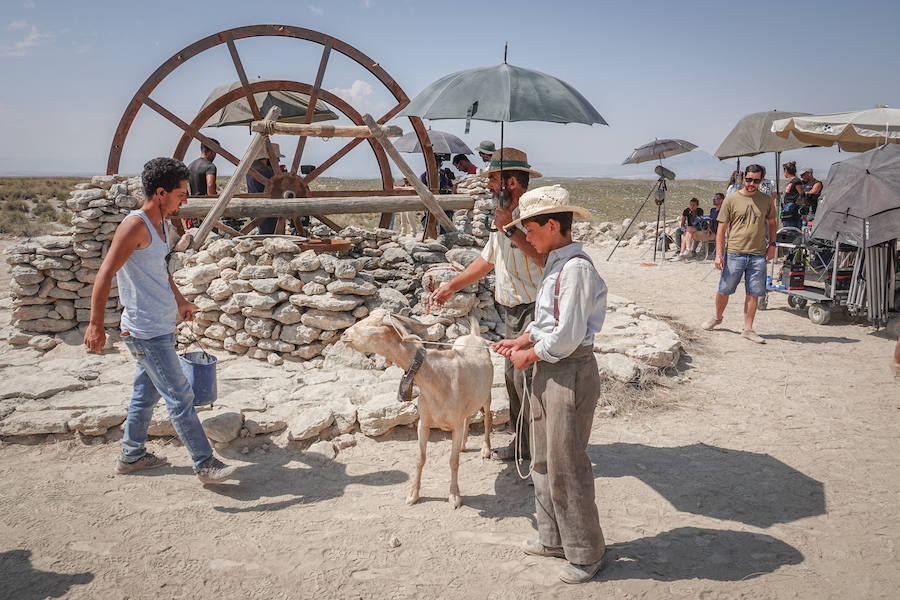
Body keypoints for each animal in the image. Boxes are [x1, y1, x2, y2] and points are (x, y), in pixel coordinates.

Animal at [342, 312, 492, 508]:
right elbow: (420, 458)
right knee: (469, 417)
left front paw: (454, 496)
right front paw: (413, 495)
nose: (344, 334)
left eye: (374, 326)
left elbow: (453, 461)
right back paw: (463, 445)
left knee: (488, 418)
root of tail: (474, 335)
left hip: (487, 395)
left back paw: (486, 450)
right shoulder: (424, 422)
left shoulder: (456, 425)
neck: (437, 377)